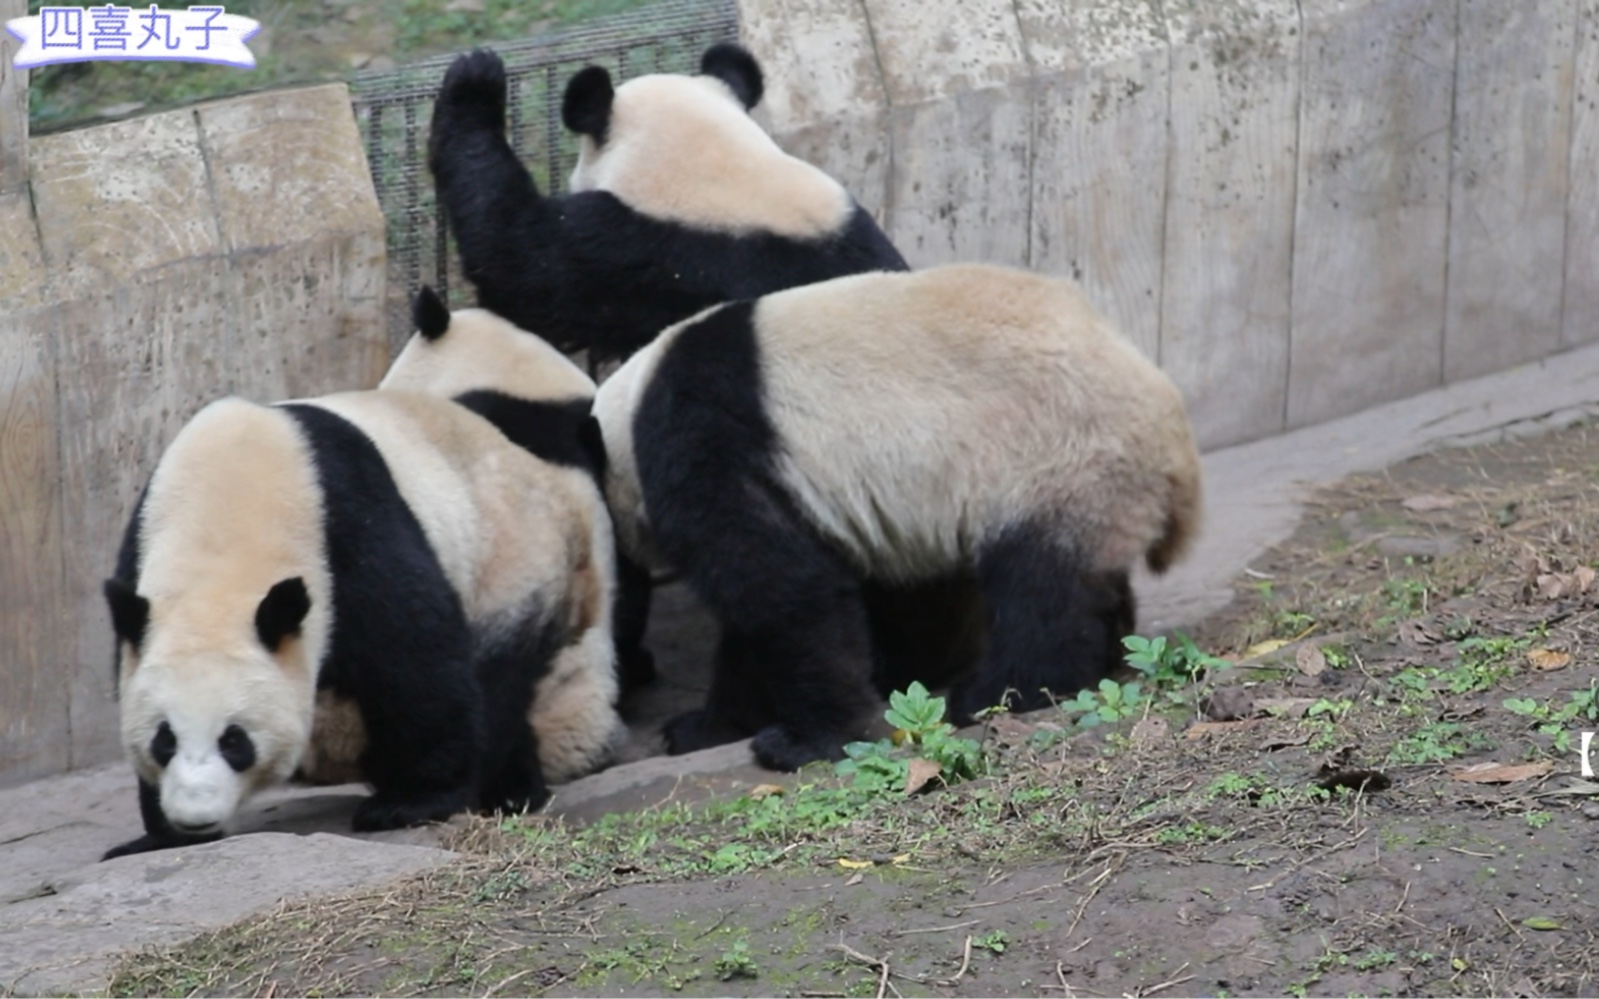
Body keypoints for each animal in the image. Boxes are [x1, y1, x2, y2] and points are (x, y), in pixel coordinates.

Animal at [98, 385, 623, 850]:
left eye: (235, 741)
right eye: (163, 739)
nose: (196, 817)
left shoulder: (346, 530)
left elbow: (414, 659)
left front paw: (410, 803)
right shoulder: (139, 553)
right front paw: (156, 836)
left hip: (510, 564)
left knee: (497, 678)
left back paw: (508, 791)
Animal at [585, 263, 1202, 770]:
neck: (627, 413)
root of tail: (1172, 428)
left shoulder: (705, 433)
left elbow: (779, 589)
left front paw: (805, 740)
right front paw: (705, 727)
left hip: (1056, 456)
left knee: (1040, 591)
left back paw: (997, 694)